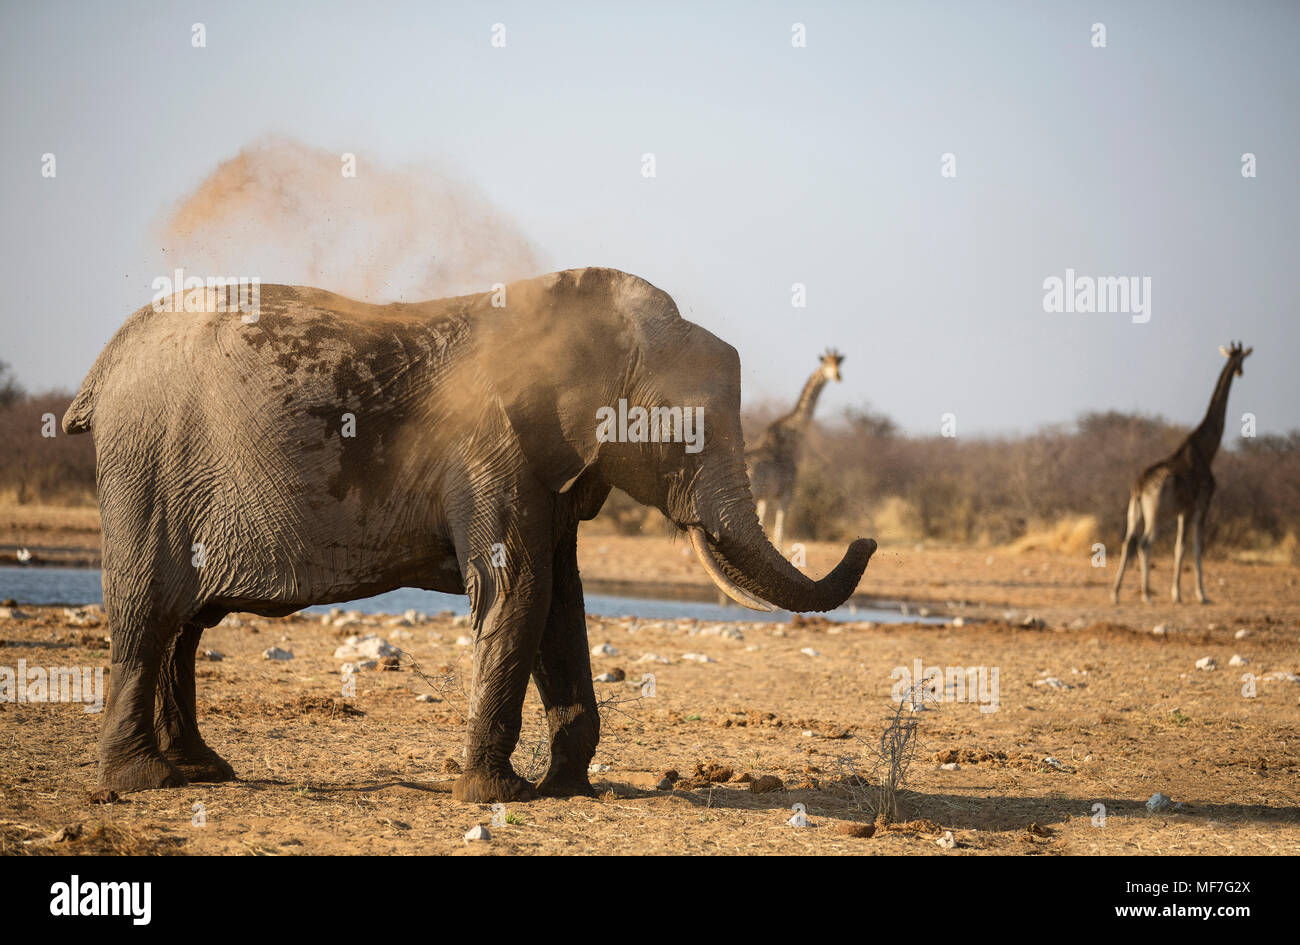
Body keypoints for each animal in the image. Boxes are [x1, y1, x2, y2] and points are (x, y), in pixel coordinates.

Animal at [748, 350, 847, 551]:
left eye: (838, 363)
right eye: (826, 363)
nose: (838, 376)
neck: (791, 439)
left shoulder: (766, 497)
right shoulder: (786, 493)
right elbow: (779, 532)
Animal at [1112, 343, 1253, 603]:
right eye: (1240, 359)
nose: (1240, 372)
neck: (1206, 450)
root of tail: (1140, 487)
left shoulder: (1181, 512)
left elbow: (1180, 547)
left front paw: (1179, 592)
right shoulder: (1199, 506)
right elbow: (1193, 548)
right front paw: (1196, 594)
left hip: (1134, 510)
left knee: (1128, 542)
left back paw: (1115, 594)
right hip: (1155, 512)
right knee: (1145, 543)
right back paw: (1146, 595)